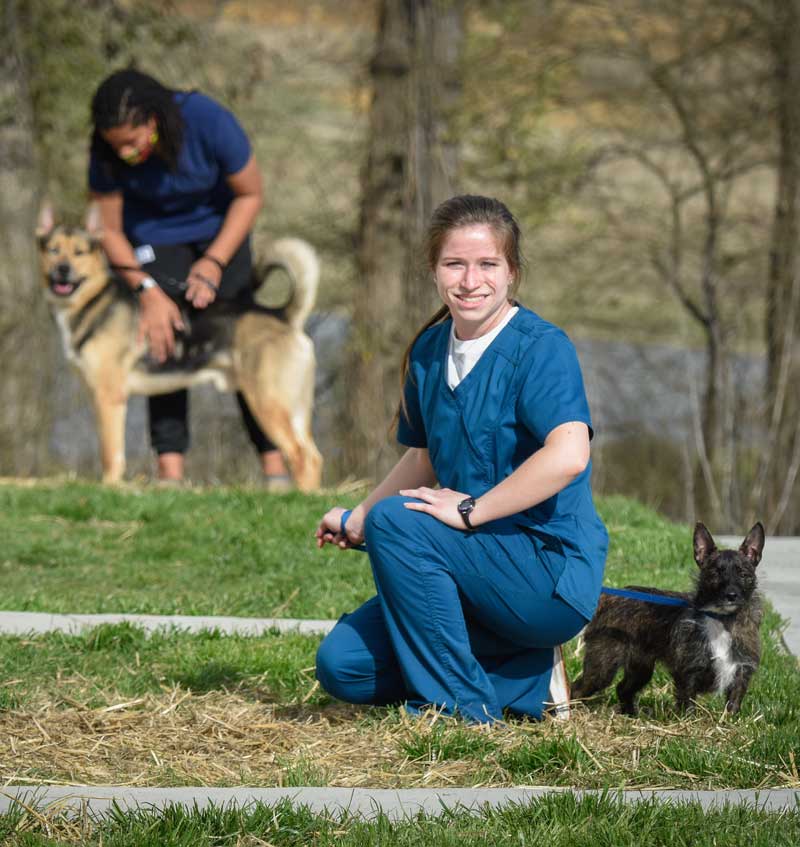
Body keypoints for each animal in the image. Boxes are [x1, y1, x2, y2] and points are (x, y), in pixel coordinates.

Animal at [34, 205, 322, 490]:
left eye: (79, 252)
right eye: (53, 250)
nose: (62, 269)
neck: (92, 302)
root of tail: (281, 315)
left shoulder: (109, 397)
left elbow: (110, 453)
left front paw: (110, 488)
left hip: (267, 401)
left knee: (299, 455)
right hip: (294, 408)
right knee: (313, 456)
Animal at [572, 524, 764, 716]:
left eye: (743, 574)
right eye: (715, 573)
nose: (731, 595)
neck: (722, 619)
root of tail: (607, 598)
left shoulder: (741, 672)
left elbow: (733, 705)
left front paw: (728, 721)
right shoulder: (688, 672)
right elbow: (687, 705)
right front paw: (689, 721)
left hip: (641, 669)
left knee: (623, 689)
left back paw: (631, 714)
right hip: (603, 666)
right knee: (578, 689)